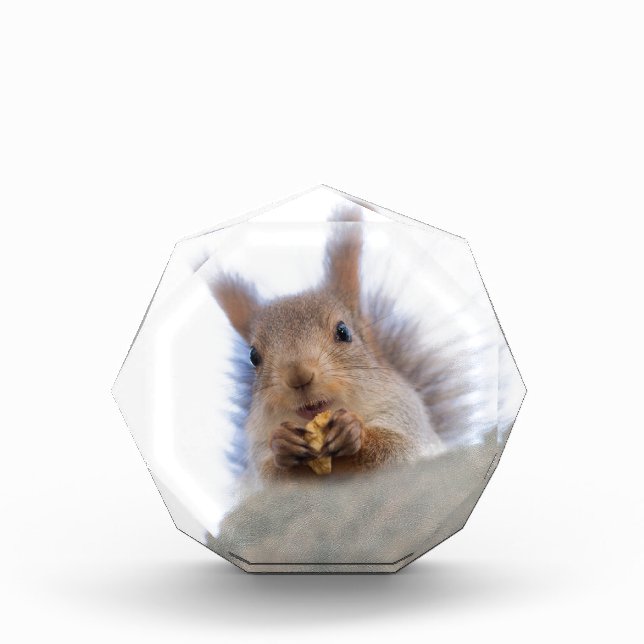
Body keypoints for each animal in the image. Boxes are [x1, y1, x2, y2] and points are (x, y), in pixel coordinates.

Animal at [211, 207, 443, 483]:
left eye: (343, 331)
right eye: (253, 356)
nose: (298, 376)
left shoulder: (406, 415)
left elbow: (398, 447)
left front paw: (352, 430)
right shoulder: (257, 459)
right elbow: (270, 474)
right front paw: (282, 444)